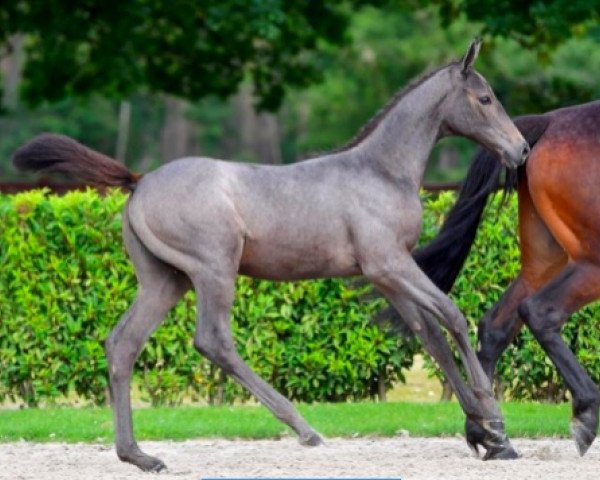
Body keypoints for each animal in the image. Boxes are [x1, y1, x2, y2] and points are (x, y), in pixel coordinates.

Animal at [384, 100, 600, 458]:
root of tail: (551, 122)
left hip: (545, 262)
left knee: (496, 325)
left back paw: (490, 434)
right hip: (590, 260)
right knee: (540, 312)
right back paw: (586, 412)